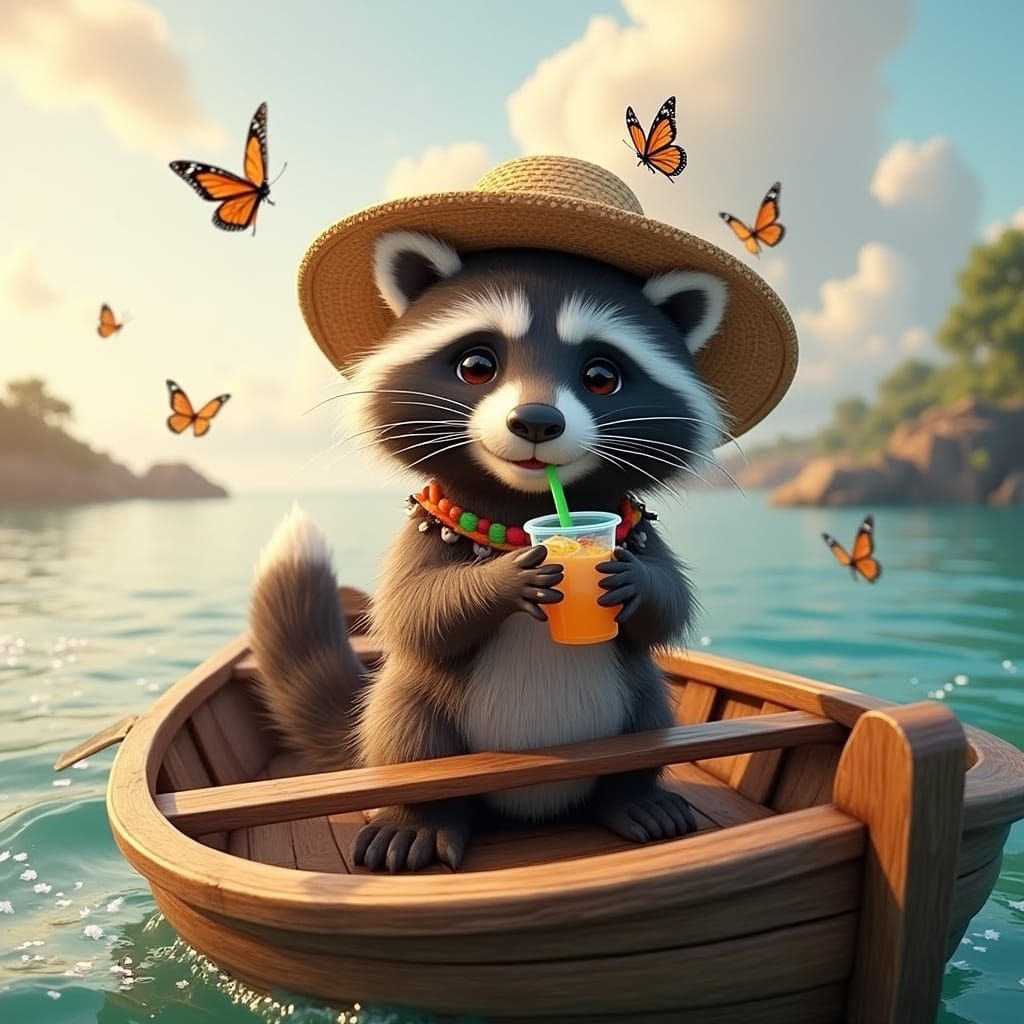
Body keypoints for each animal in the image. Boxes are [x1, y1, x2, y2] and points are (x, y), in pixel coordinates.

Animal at [251, 231, 730, 872]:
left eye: (602, 376)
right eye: (476, 365)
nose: (537, 420)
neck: (522, 505)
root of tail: (535, 802)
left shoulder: (641, 533)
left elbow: (670, 604)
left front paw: (632, 581)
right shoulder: (422, 537)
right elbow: (413, 611)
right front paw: (504, 580)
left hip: (637, 703)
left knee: (648, 724)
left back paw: (633, 797)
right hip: (416, 712)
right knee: (410, 735)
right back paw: (421, 819)